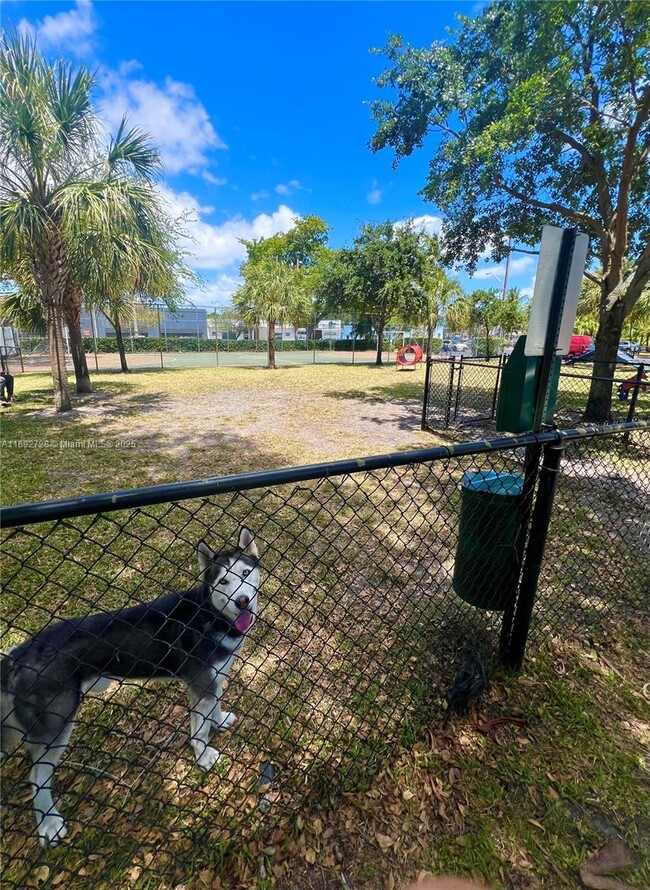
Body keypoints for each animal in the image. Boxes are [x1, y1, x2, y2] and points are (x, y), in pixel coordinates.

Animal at [0, 528, 258, 848]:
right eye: (223, 581)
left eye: (245, 573)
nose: (242, 601)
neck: (210, 614)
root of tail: (17, 656)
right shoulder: (201, 683)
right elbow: (198, 729)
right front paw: (204, 756)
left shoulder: (213, 678)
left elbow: (215, 707)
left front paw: (219, 721)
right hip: (56, 726)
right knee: (37, 777)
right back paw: (48, 824)